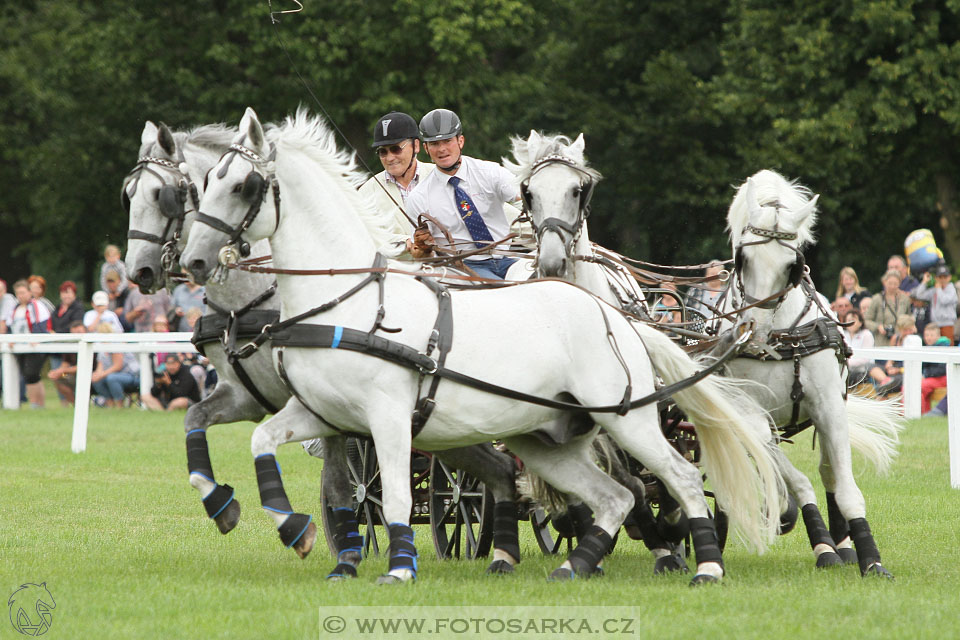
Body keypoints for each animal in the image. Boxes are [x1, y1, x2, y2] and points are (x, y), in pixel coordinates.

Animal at [180, 109, 788, 584]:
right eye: (206, 182)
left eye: (243, 186)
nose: (193, 260)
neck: (347, 302)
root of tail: (617, 316)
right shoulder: (323, 415)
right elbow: (264, 442)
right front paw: (287, 527)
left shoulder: (389, 417)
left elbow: (396, 493)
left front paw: (398, 567)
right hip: (546, 440)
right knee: (610, 495)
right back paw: (574, 564)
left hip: (626, 418)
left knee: (672, 479)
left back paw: (703, 565)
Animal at [724, 168, 904, 576]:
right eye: (743, 258)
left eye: (791, 266)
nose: (753, 331)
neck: (781, 338)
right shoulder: (748, 413)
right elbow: (795, 479)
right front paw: (818, 542)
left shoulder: (830, 408)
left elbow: (845, 489)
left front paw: (870, 558)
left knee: (829, 472)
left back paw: (844, 544)